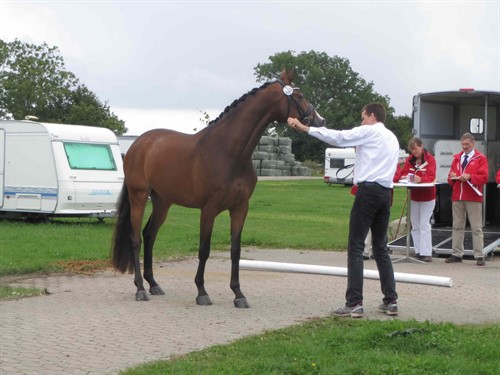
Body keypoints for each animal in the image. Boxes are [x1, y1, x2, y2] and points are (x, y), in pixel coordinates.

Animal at [110, 68, 324, 308]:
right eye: (299, 96)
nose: (319, 120)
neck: (229, 152)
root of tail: (138, 144)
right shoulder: (208, 210)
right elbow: (204, 250)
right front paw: (201, 292)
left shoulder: (240, 208)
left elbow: (235, 250)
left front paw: (238, 294)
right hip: (138, 196)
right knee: (135, 238)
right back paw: (140, 289)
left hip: (163, 201)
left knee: (149, 235)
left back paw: (154, 284)